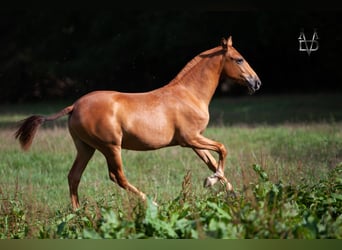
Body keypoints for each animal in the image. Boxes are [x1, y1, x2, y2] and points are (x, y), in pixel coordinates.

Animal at [14, 36, 260, 209]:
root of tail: (74, 106)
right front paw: (211, 182)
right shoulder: (191, 138)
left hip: (86, 148)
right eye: (239, 59)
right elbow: (222, 149)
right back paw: (153, 203)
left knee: (74, 176)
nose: (256, 82)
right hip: (110, 147)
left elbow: (212, 161)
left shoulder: (194, 142)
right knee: (117, 177)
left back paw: (76, 213)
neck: (188, 94)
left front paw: (231, 193)